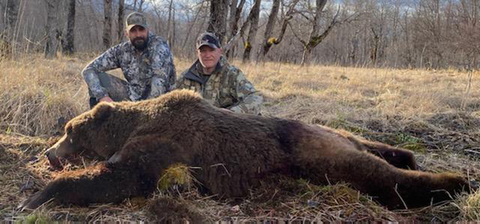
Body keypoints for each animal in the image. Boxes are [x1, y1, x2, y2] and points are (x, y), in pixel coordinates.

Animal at [18, 89, 468, 210]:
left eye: (69, 130)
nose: (49, 154)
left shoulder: (164, 146)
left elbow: (125, 176)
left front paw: (37, 197)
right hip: (334, 133)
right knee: (378, 149)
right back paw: (410, 155)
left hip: (318, 156)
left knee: (382, 178)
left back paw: (455, 181)